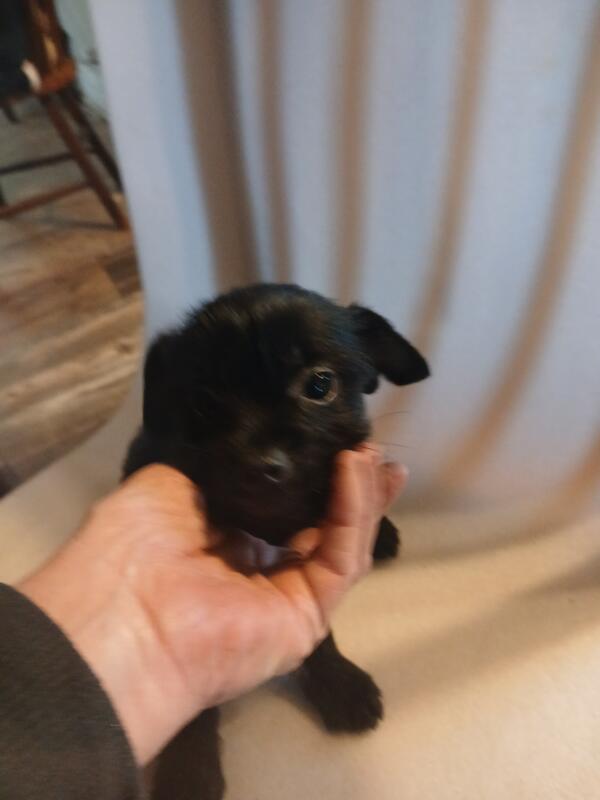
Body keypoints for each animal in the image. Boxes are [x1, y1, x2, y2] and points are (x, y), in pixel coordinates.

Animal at [123, 283, 429, 799]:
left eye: (320, 386)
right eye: (204, 402)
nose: (261, 464)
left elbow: (319, 632)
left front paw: (339, 686)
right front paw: (189, 771)